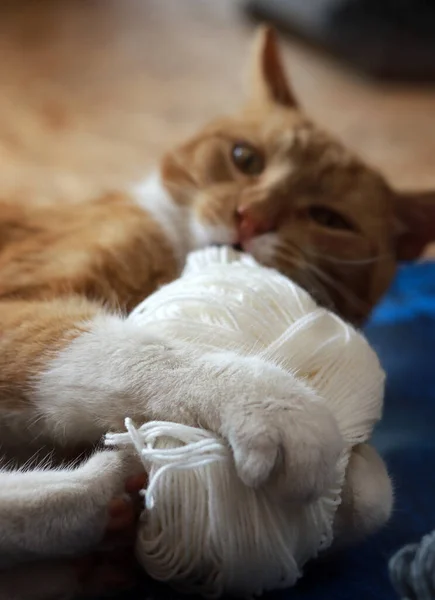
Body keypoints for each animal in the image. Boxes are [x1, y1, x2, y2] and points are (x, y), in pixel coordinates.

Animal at [0, 28, 432, 600]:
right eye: (245, 158)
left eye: (328, 218)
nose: (250, 217)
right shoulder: (19, 305)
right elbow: (126, 350)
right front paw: (272, 404)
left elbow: (373, 499)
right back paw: (98, 493)